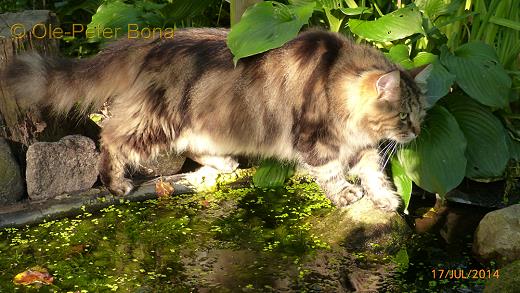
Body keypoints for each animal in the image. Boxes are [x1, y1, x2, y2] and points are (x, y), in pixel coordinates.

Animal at [3, 28, 426, 210]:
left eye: (421, 114)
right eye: (404, 116)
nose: (418, 132)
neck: (336, 78)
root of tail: (154, 43)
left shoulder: (361, 146)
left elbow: (374, 173)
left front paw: (386, 199)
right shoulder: (315, 140)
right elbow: (332, 173)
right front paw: (346, 194)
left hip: (208, 123)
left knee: (193, 145)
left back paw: (225, 163)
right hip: (155, 122)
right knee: (110, 135)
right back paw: (115, 183)